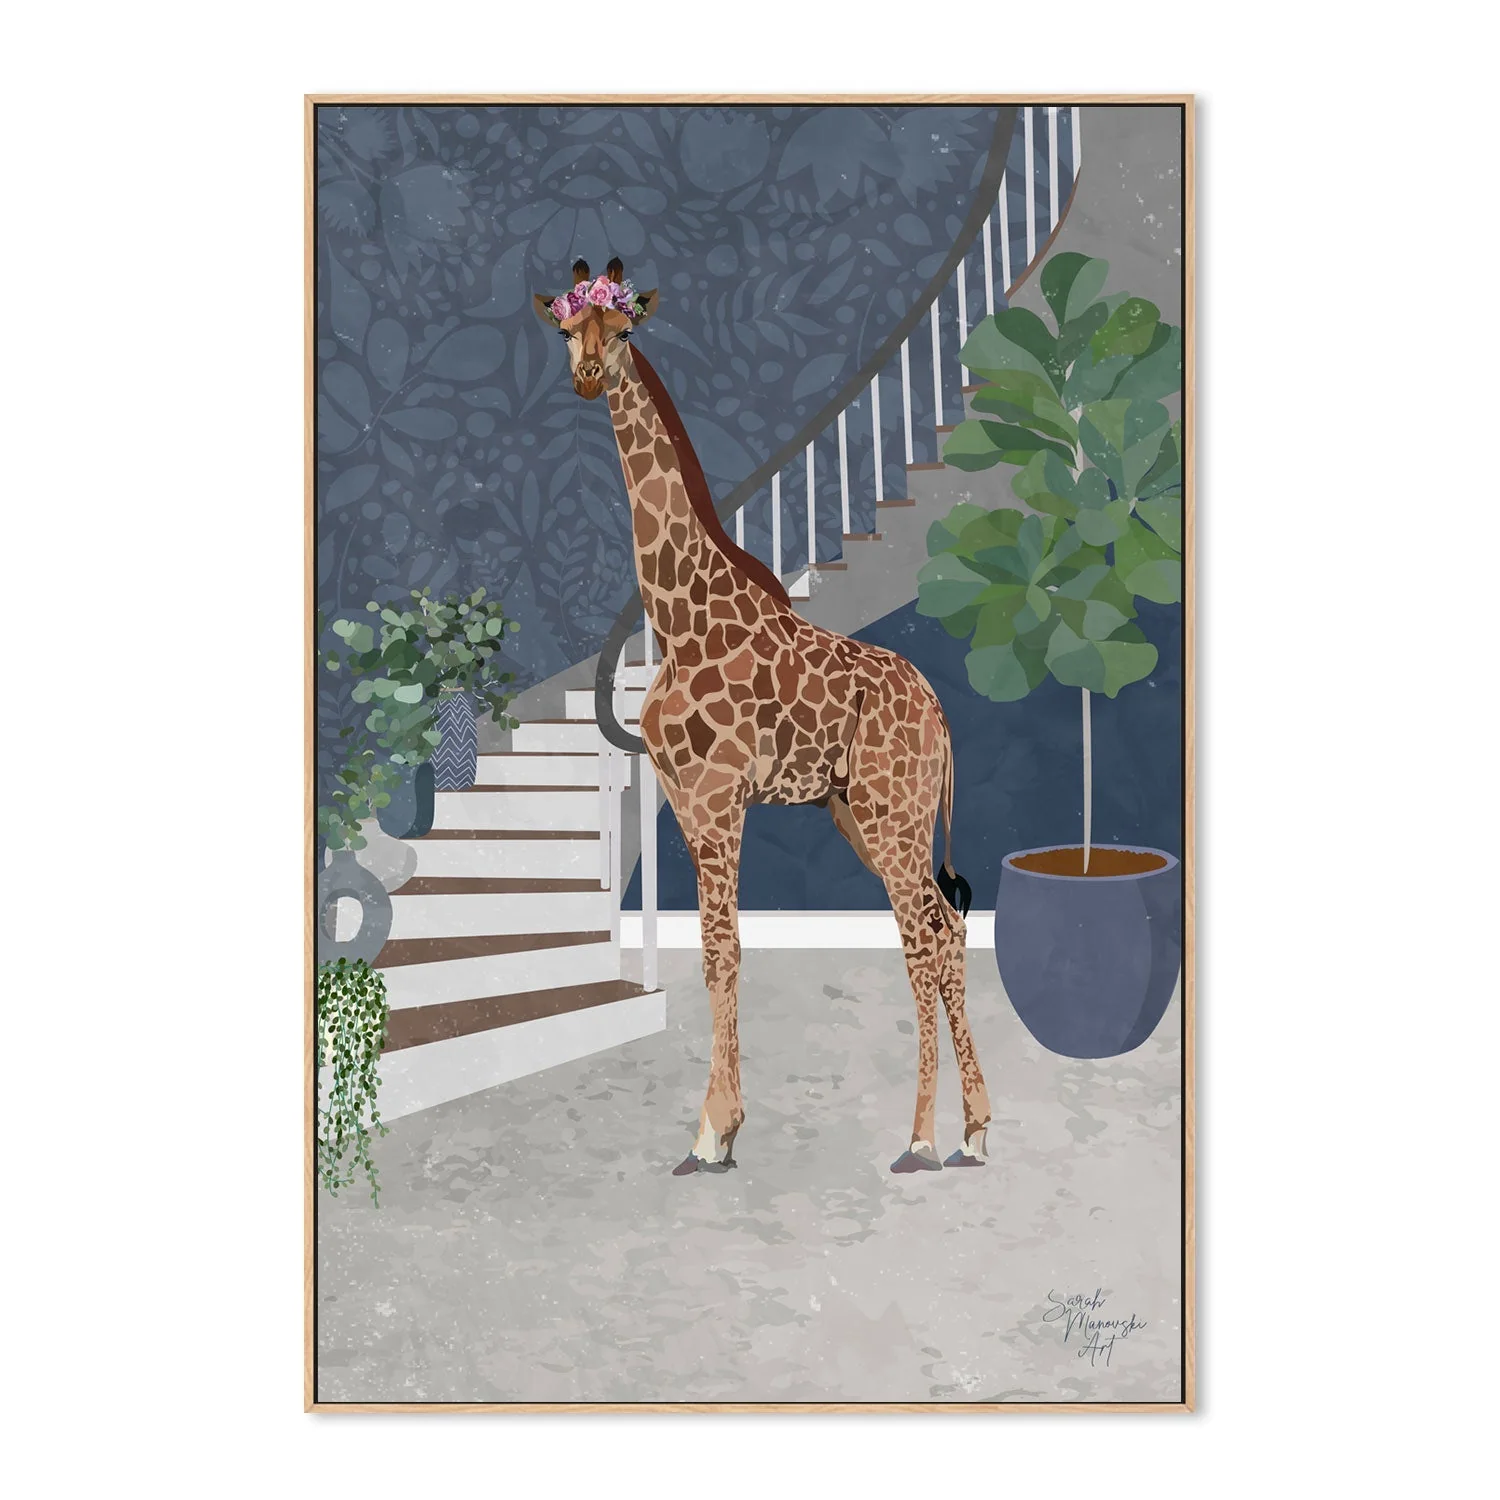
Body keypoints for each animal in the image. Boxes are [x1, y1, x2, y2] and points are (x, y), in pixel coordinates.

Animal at [534, 257, 992, 1175]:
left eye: (624, 328)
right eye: (566, 328)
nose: (589, 375)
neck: (678, 617)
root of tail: (939, 714)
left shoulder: (718, 801)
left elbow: (724, 948)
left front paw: (713, 1131)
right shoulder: (683, 801)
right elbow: (717, 955)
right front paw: (722, 1126)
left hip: (893, 813)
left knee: (924, 937)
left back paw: (921, 1139)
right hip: (865, 814)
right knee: (947, 927)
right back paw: (975, 1130)